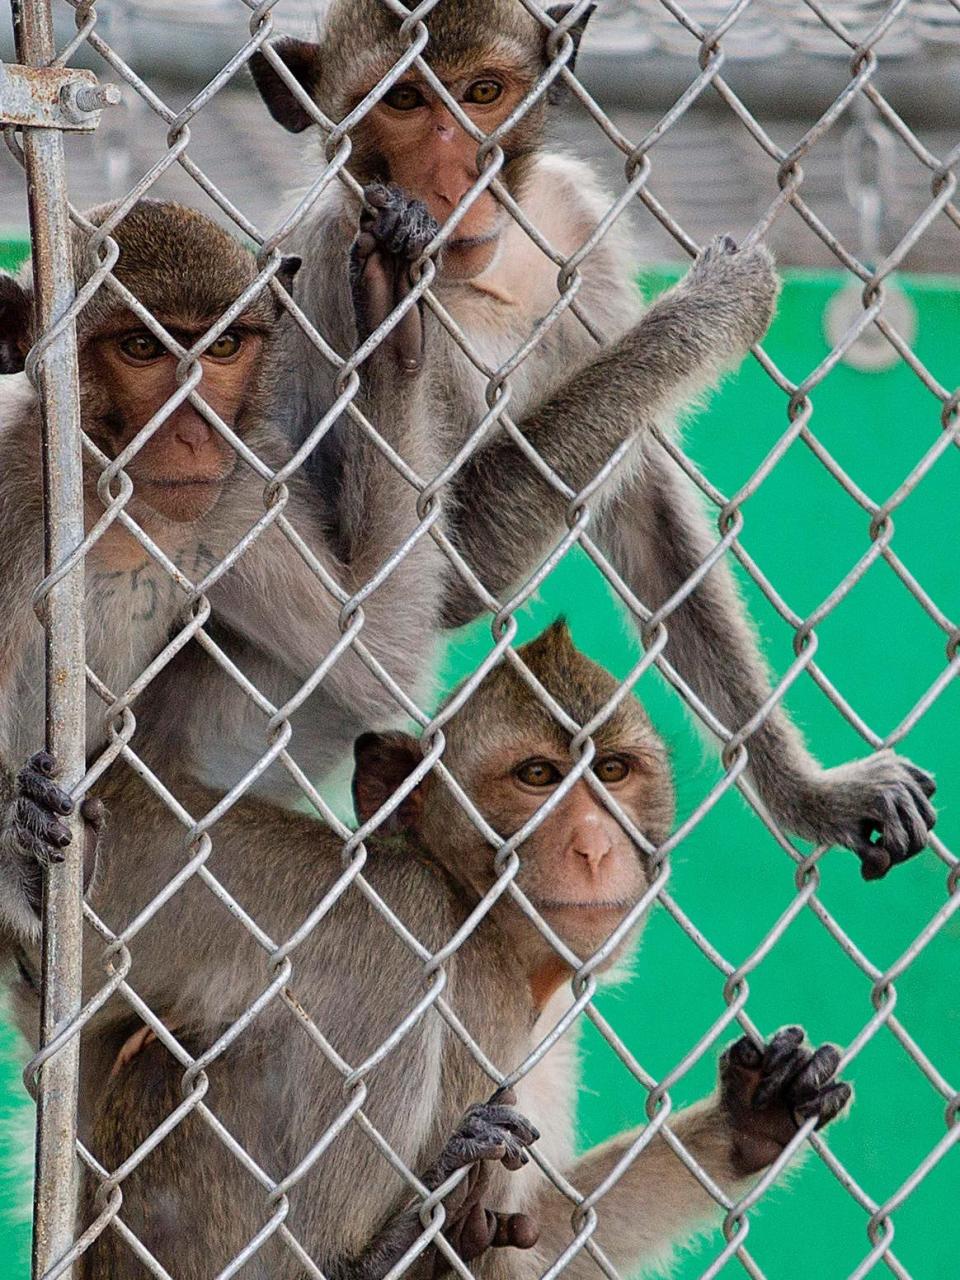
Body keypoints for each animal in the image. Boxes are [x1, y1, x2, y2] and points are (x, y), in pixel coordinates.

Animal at [64, 616, 855, 1269]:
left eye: (612, 771)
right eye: (536, 776)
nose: (596, 845)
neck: (480, 914)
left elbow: (534, 1241)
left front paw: (751, 1121)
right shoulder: (471, 985)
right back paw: (371, 1258)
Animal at [249, 0, 942, 880]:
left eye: (482, 93)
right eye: (402, 100)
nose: (450, 181)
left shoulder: (575, 223)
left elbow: (646, 513)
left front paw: (808, 792)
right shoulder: (331, 276)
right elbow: (448, 579)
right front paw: (709, 308)